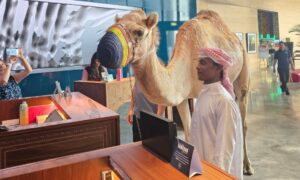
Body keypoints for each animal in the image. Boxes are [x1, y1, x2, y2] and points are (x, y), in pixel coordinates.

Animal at [98, 9, 253, 175]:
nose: (105, 49)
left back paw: (247, 166)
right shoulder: (182, 98)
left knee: (243, 120)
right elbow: (189, 131)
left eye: (139, 32)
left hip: (243, 75)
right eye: (110, 27)